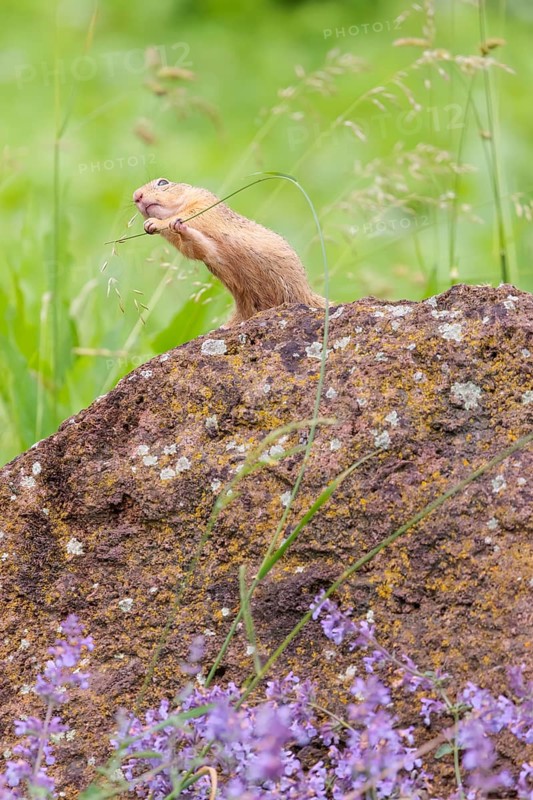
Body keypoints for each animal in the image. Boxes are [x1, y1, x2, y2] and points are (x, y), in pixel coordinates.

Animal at [133, 178, 326, 325]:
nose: (136, 196)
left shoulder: (204, 203)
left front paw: (156, 223)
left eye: (162, 182)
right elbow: (196, 246)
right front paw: (174, 228)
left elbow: (192, 215)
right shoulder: (204, 248)